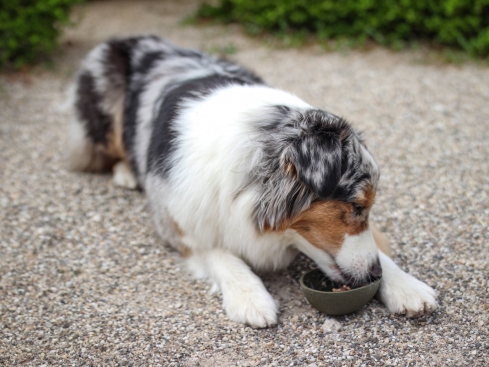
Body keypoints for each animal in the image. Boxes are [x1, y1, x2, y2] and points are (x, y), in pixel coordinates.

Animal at [66, 35, 436, 328]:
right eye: (357, 207)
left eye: (367, 209)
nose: (374, 276)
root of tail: (136, 38)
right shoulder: (176, 220)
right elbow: (221, 252)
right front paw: (250, 298)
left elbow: (379, 249)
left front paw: (405, 285)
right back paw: (127, 172)